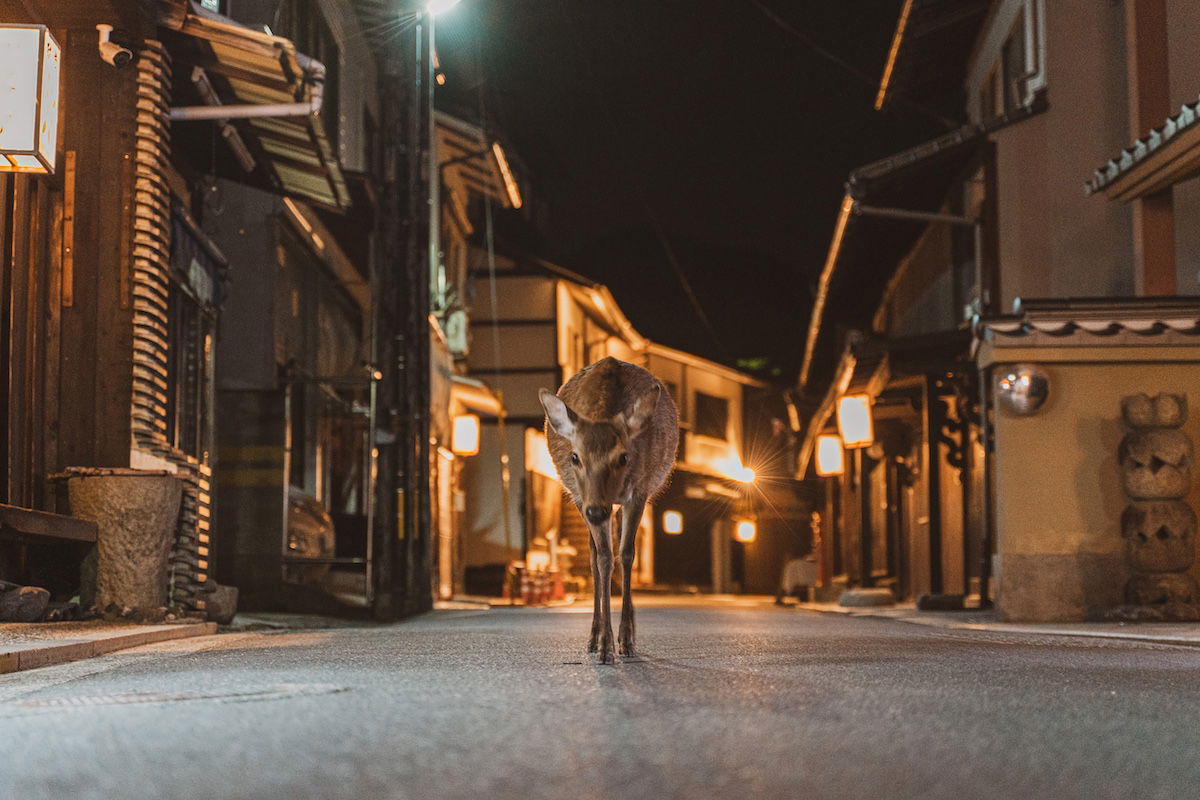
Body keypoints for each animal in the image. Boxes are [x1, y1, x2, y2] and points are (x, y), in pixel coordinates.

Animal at [540, 357, 681, 662]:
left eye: (624, 457)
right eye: (575, 457)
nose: (596, 512)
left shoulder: (638, 492)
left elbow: (626, 554)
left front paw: (626, 639)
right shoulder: (585, 499)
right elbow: (604, 558)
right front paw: (604, 645)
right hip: (581, 500)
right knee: (594, 556)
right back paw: (593, 637)